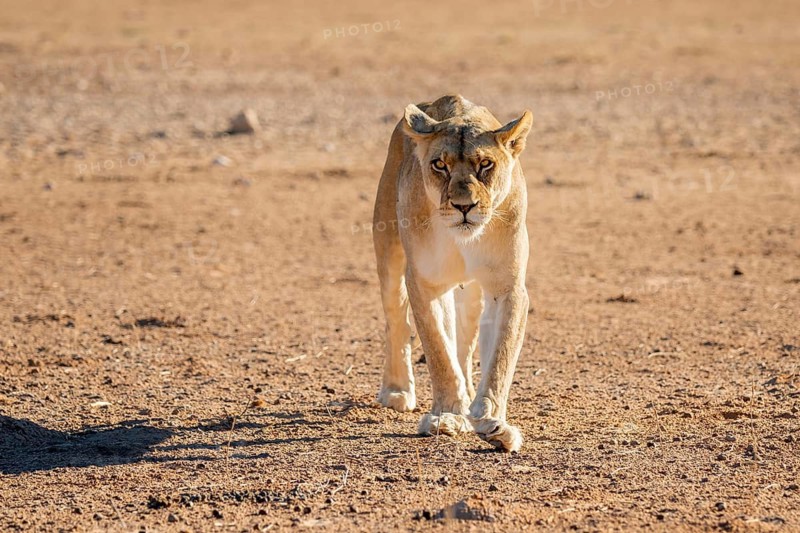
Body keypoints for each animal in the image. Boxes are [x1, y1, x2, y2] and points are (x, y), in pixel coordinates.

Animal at [373, 95, 532, 452]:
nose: (464, 206)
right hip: (389, 253)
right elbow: (438, 352)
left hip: (470, 296)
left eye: (485, 164)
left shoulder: (508, 288)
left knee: (465, 342)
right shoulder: (424, 283)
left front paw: (491, 418)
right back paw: (397, 390)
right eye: (439, 165)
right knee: (396, 321)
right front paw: (446, 415)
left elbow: (500, 356)